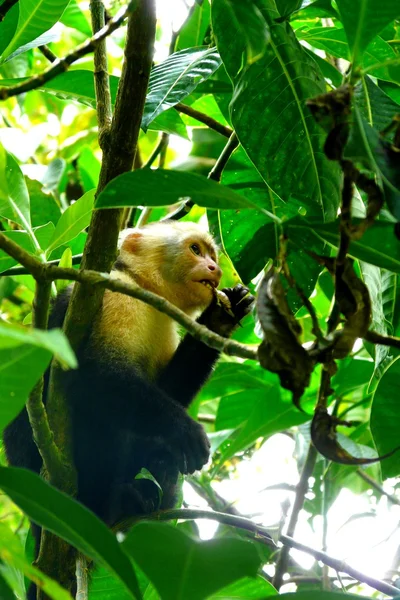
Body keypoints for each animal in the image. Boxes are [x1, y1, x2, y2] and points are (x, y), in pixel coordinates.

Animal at [2, 221, 253, 552]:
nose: (215, 268)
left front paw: (220, 317)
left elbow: (168, 389)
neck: (143, 289)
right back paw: (110, 500)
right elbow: (95, 379)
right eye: (195, 250)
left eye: (212, 254)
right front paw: (186, 431)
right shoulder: (112, 295)